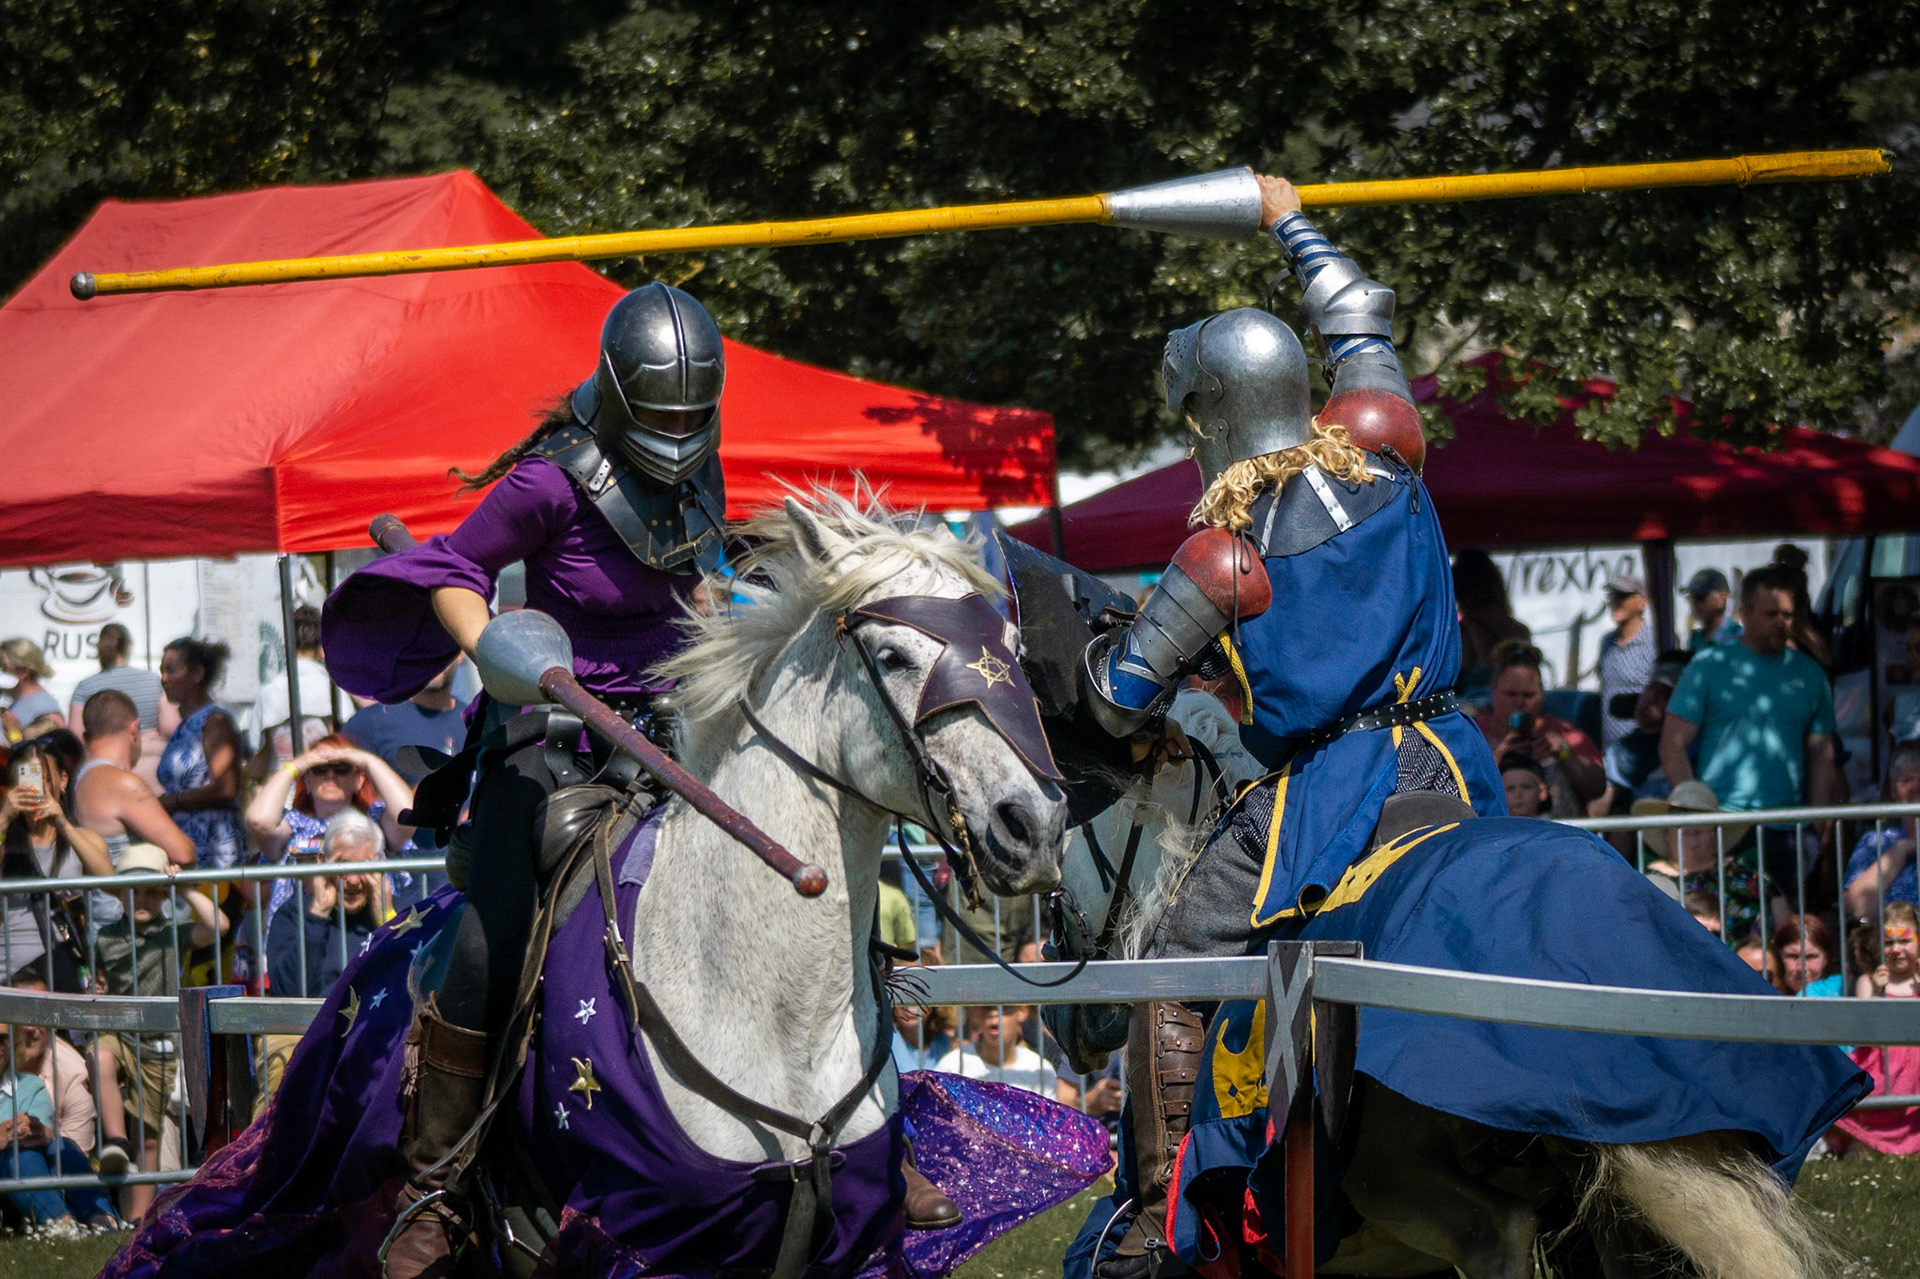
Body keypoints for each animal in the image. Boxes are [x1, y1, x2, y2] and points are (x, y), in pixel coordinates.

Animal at [103, 492, 1111, 1279]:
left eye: (1011, 645)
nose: (1031, 825)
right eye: (895, 655)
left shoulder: (848, 1247)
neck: (769, 1011)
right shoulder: (645, 1245)